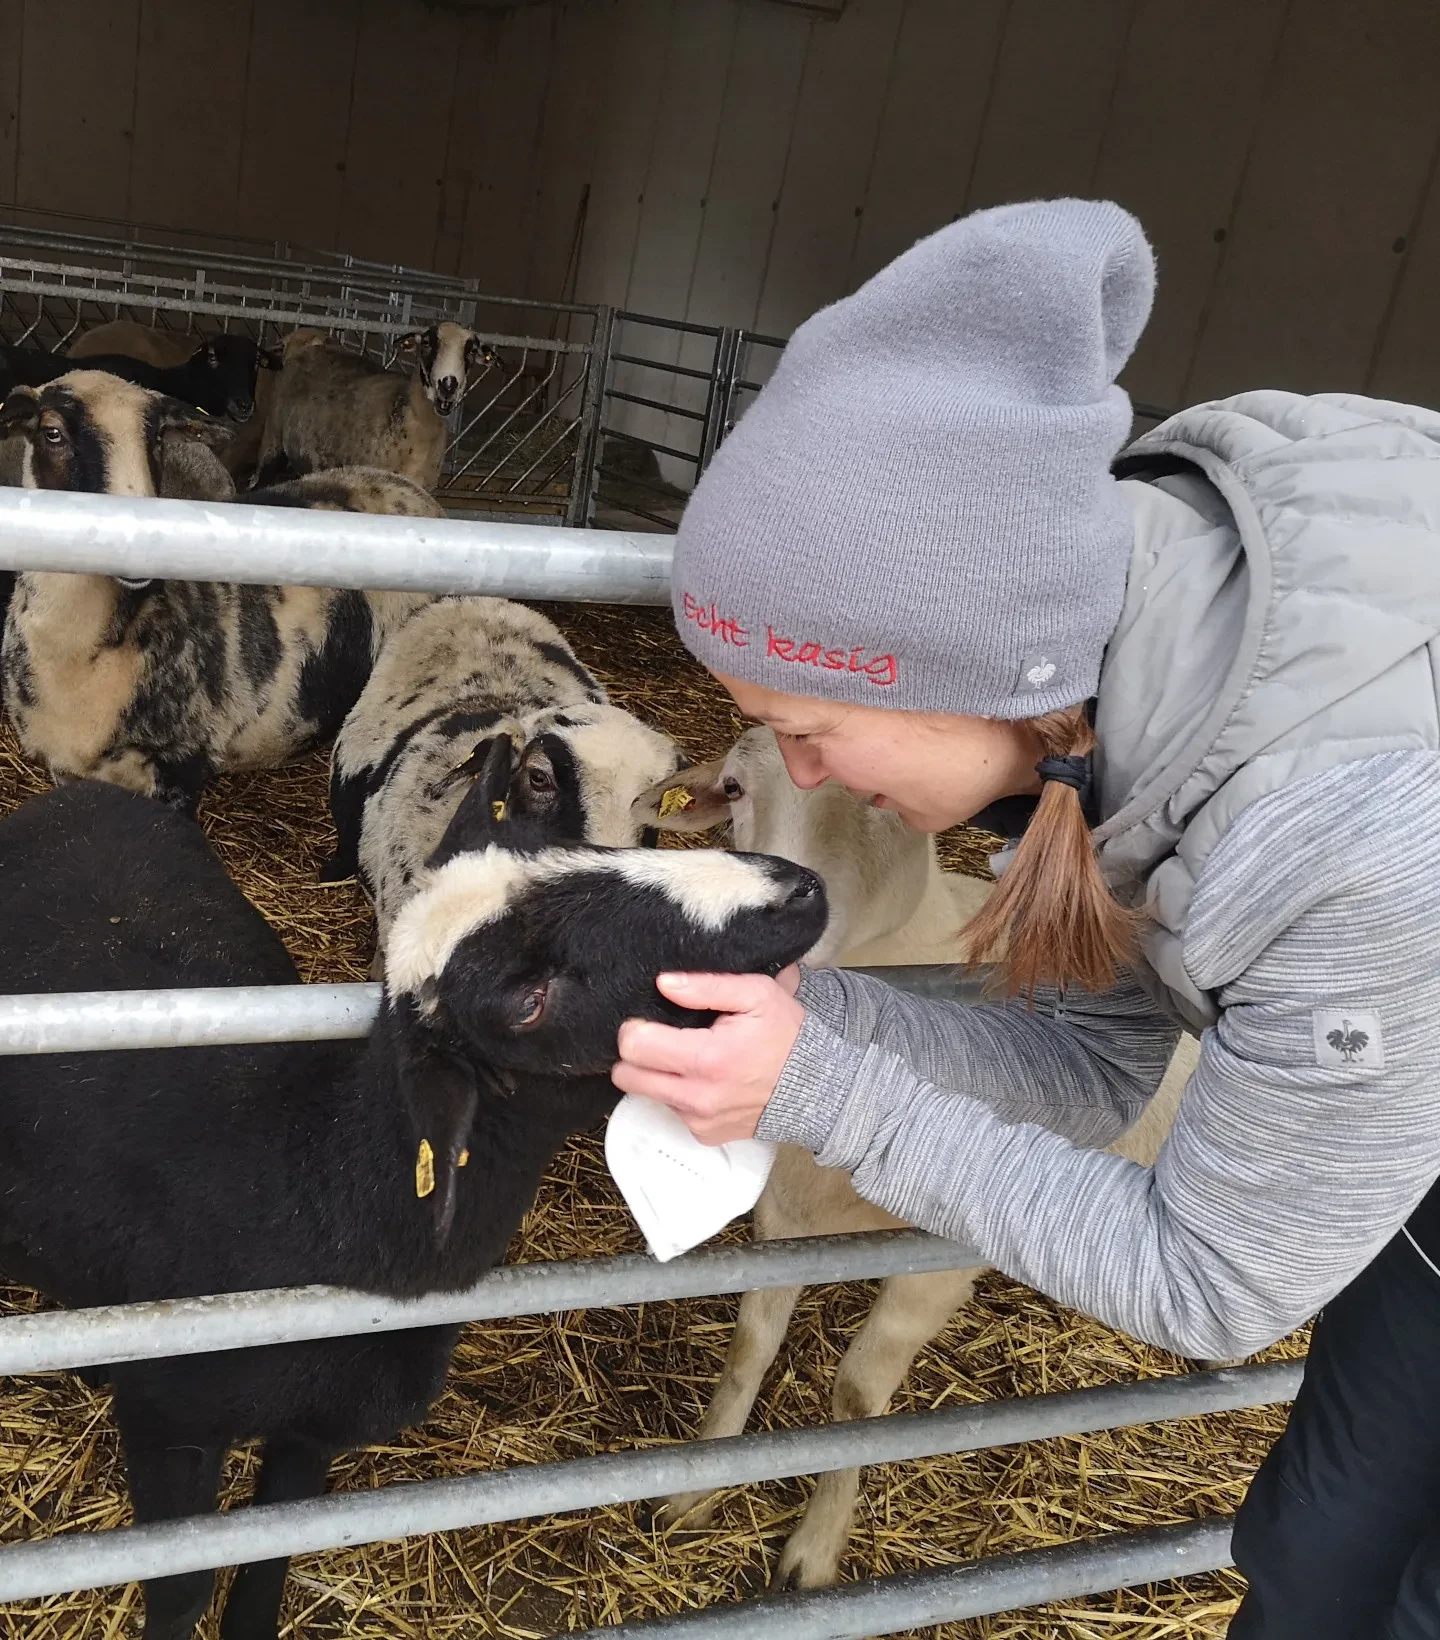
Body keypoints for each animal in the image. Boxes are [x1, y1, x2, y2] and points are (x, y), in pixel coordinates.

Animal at [0, 774, 829, 1633]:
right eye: (528, 1002)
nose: (796, 888)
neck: (313, 1191)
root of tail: (80, 791)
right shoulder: (170, 1425)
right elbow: (182, 1589)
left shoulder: (314, 1428)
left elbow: (268, 1563)